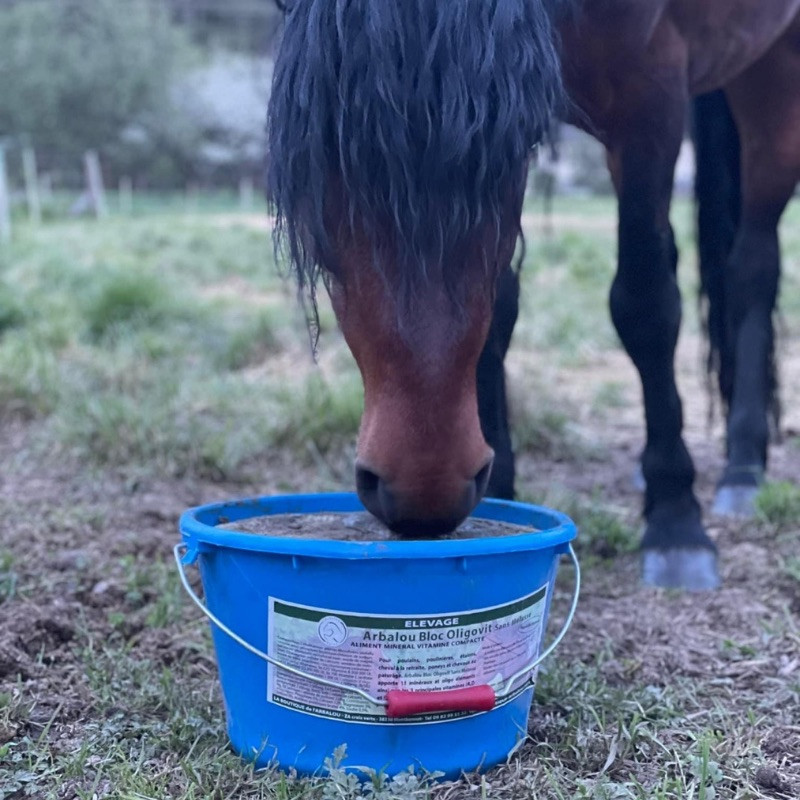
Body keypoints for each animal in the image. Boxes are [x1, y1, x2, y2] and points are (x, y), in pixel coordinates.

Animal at [266, 1, 800, 591]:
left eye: (496, 160)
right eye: (321, 172)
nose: (424, 489)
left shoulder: (651, 94)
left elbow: (646, 306)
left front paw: (676, 521)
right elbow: (498, 313)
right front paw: (502, 490)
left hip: (776, 85)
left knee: (752, 269)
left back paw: (743, 468)